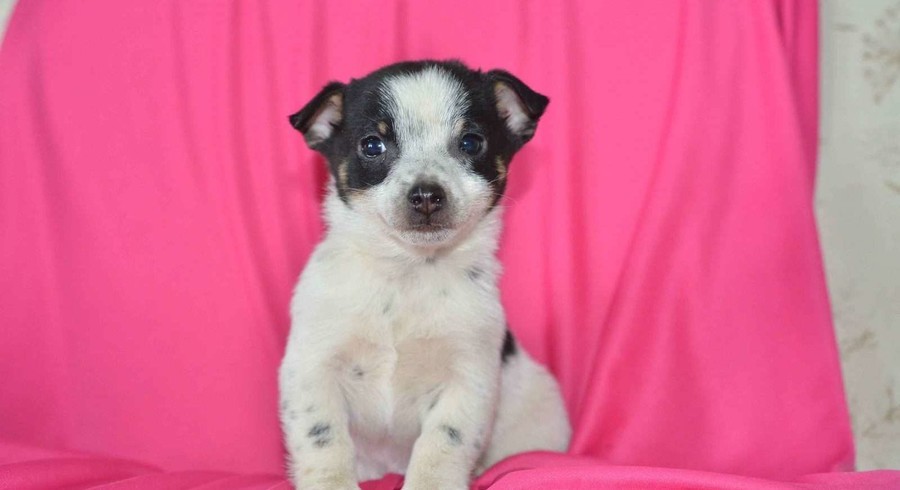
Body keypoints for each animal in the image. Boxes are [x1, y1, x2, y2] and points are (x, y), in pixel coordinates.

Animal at [282, 61, 568, 490]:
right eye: (372, 146)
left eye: (471, 143)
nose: (427, 195)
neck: (408, 272)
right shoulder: (312, 367)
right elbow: (323, 438)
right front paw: (330, 482)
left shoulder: (468, 377)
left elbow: (443, 442)